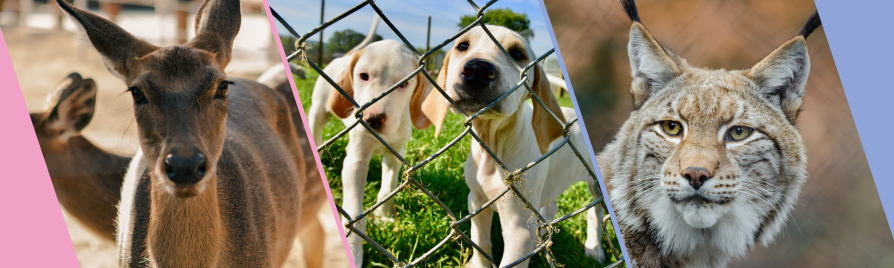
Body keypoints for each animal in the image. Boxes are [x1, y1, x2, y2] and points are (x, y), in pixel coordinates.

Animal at [308, 38, 434, 266]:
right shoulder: (356, 162)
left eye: (404, 84)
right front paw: (354, 254)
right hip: (318, 110)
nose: (373, 118)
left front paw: (384, 216)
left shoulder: (395, 155)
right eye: (364, 76)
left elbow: (388, 189)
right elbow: (354, 213)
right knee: (315, 131)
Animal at [422, 25, 604, 268]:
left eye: (517, 54)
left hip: (594, 185)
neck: (493, 144)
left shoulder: (519, 230)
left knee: (595, 214)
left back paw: (594, 249)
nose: (478, 70)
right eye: (462, 46)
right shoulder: (476, 201)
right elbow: (481, 244)